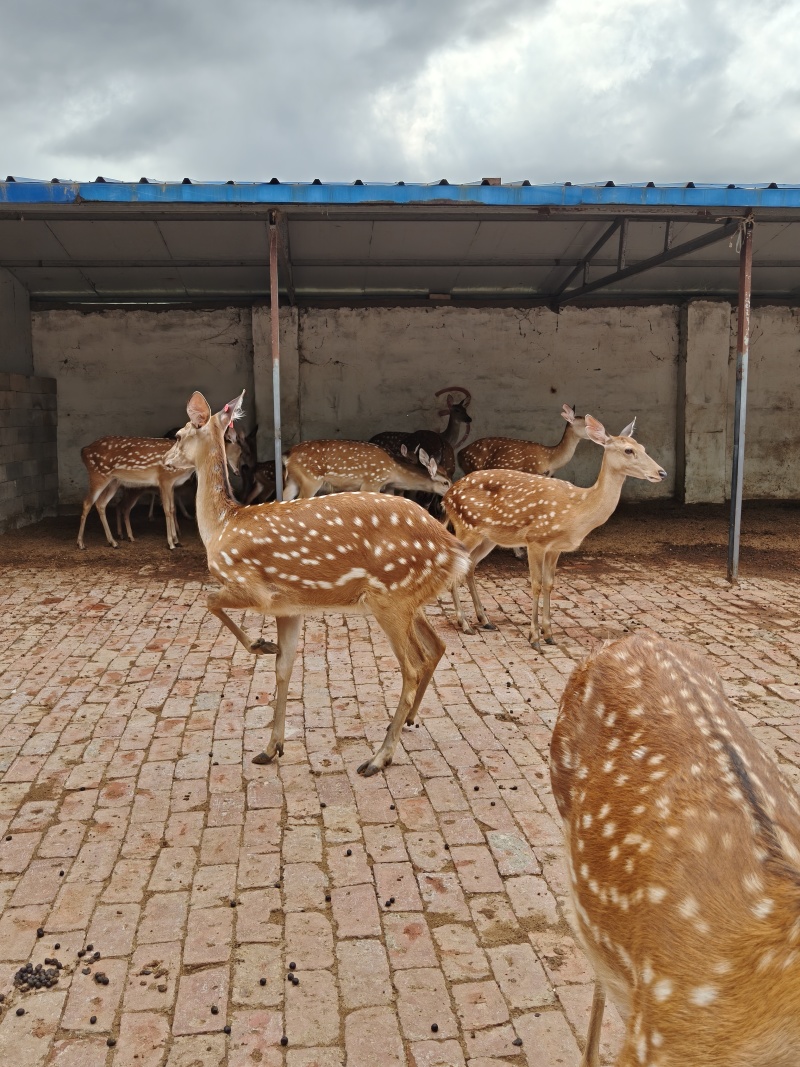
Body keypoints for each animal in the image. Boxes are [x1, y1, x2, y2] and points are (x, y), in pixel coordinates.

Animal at [283, 440, 451, 500]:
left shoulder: (387, 487)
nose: (451, 495)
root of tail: (288, 455)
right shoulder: (373, 481)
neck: (395, 472)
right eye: (446, 483)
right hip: (311, 479)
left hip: (293, 480)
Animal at [443, 415, 666, 649]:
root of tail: (447, 496)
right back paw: (464, 623)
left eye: (642, 447)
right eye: (628, 450)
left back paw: (484, 620)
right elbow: (536, 584)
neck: (578, 510)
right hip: (466, 526)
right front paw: (534, 637)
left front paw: (549, 634)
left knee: (470, 567)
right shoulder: (535, 540)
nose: (662, 472)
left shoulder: (555, 548)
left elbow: (549, 584)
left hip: (488, 537)